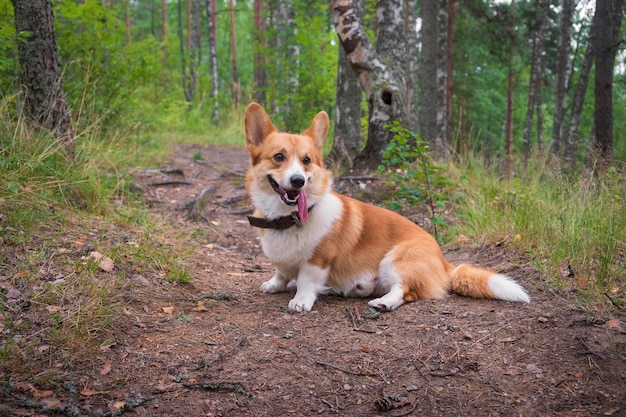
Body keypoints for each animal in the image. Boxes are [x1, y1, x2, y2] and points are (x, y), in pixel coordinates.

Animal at [243, 103, 528, 312]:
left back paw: (383, 302)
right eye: (279, 157)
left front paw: (301, 300)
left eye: (306, 161)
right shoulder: (281, 262)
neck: (288, 219)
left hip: (395, 260)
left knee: (405, 291)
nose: (298, 181)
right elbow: (281, 272)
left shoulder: (318, 261)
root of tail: (445, 262)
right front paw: (275, 285)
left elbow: (305, 280)